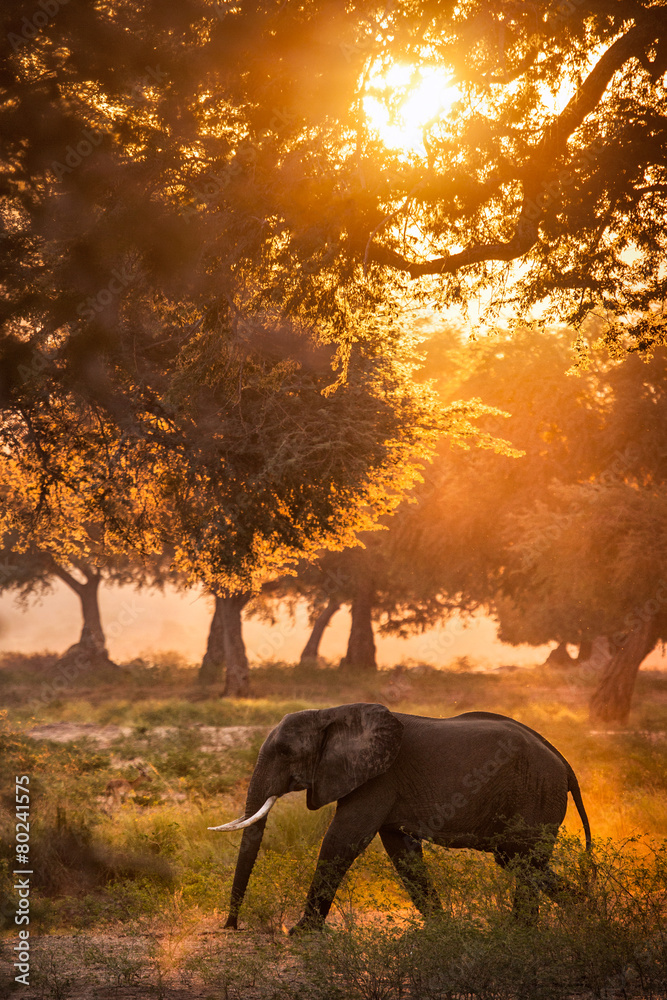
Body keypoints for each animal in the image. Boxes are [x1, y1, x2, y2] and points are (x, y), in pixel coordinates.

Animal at [211, 703, 592, 932]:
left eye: (286, 751)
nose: (232, 927)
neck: (332, 713)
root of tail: (565, 764)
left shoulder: (379, 778)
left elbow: (342, 840)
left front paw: (300, 933)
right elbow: (400, 850)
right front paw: (442, 929)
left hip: (535, 793)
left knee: (524, 860)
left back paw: (526, 932)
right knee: (518, 861)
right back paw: (583, 914)